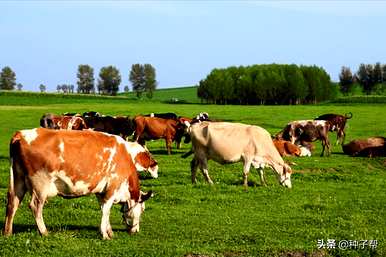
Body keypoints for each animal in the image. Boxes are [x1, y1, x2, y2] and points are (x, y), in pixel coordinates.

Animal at [3, 127, 158, 238]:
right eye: (142, 209)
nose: (136, 231)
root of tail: (21, 134)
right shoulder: (112, 187)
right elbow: (106, 210)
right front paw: (105, 234)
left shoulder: (100, 191)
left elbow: (103, 210)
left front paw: (109, 231)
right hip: (40, 185)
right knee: (35, 206)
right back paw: (44, 232)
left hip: (18, 180)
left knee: (13, 203)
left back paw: (7, 232)